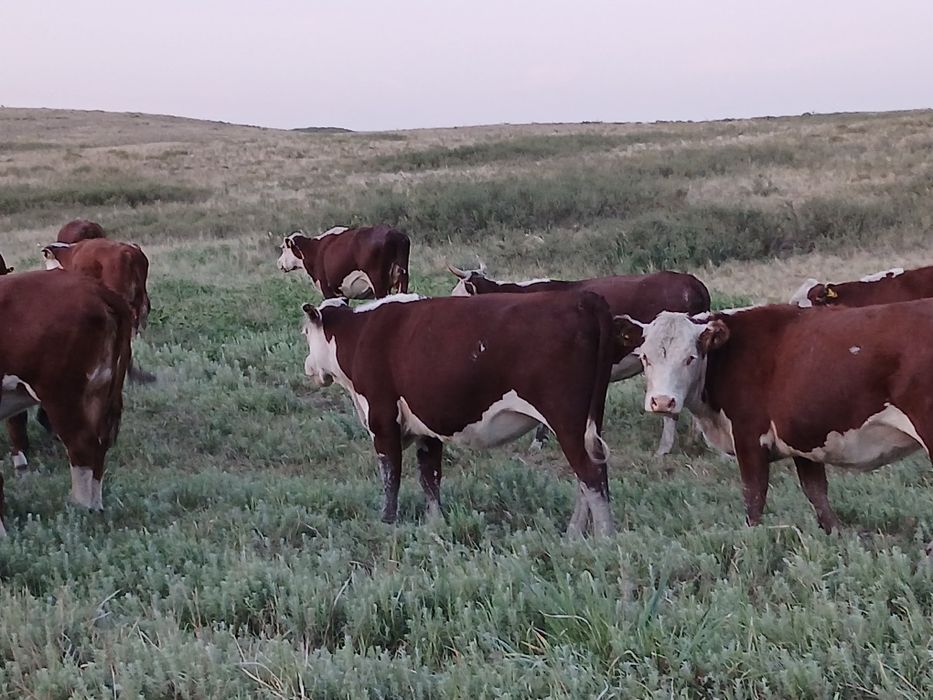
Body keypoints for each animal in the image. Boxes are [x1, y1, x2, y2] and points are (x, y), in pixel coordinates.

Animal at [0, 271, 132, 535]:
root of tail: (94, 288)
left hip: (62, 394)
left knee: (82, 444)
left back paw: (80, 512)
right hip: (99, 391)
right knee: (100, 445)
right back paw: (95, 506)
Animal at [276, 225, 410, 299]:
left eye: (283, 248)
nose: (279, 263)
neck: (314, 250)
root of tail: (394, 235)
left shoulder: (327, 289)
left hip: (378, 282)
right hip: (402, 279)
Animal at [300, 291, 622, 536]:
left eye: (305, 332)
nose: (308, 367)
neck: (361, 334)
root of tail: (582, 298)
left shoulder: (382, 421)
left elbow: (391, 478)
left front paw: (387, 524)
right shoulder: (425, 429)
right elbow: (430, 478)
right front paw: (435, 526)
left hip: (566, 419)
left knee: (590, 474)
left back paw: (604, 538)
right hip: (589, 421)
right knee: (590, 473)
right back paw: (574, 534)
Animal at [617, 302, 933, 536]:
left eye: (690, 357)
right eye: (645, 358)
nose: (662, 401)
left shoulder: (749, 439)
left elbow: (754, 498)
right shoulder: (803, 441)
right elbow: (817, 495)